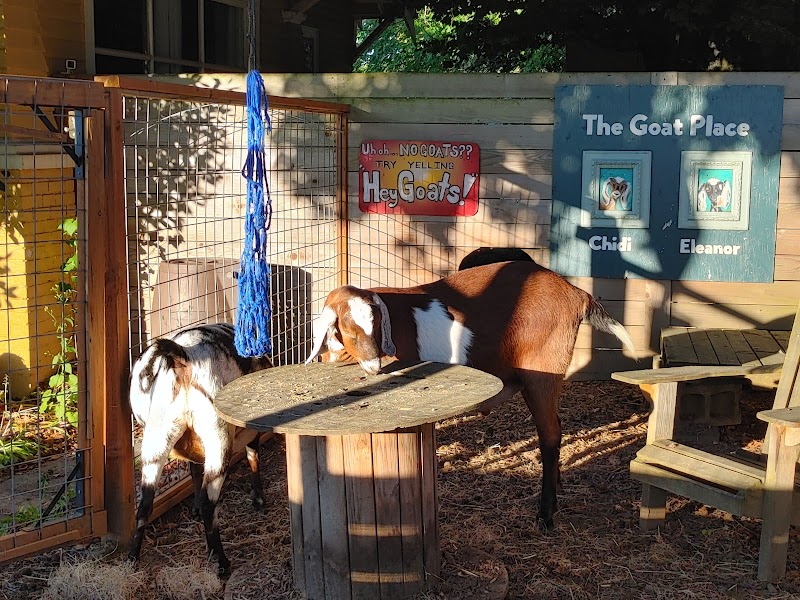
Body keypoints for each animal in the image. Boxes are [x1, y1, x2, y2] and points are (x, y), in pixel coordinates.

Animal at [128, 323, 273, 574]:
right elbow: (253, 456)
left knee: (145, 502)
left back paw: (133, 559)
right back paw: (222, 562)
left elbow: (195, 470)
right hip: (218, 439)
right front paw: (258, 500)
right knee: (209, 503)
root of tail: (182, 357)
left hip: (156, 440)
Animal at [304, 261, 634, 529]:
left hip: (543, 371)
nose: (375, 364)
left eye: (376, 327)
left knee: (550, 436)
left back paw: (546, 515)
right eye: (349, 329)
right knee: (557, 428)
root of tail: (576, 293)